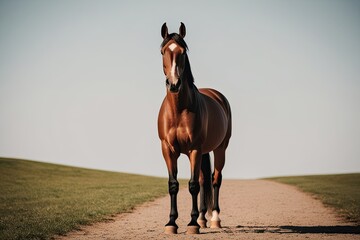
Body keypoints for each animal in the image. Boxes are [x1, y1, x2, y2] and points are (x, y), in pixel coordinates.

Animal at [158, 23, 232, 234]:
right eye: (163, 51)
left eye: (183, 52)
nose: (174, 84)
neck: (179, 110)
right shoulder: (168, 149)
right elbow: (173, 185)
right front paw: (171, 223)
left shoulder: (194, 149)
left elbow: (192, 186)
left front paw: (191, 224)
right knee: (203, 180)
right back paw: (201, 218)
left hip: (220, 149)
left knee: (215, 179)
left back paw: (214, 219)